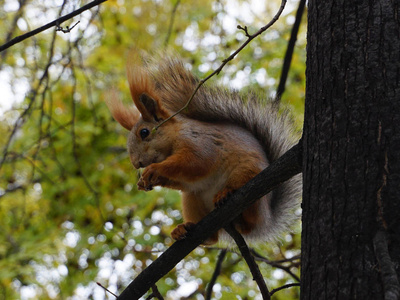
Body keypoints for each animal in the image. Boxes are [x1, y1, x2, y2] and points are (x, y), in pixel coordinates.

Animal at [106, 51, 300, 244]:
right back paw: (184, 229)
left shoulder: (200, 143)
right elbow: (185, 179)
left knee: (248, 221)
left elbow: (197, 163)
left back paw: (227, 194)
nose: (136, 163)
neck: (175, 137)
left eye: (144, 132)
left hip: (248, 177)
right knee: (212, 238)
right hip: (192, 199)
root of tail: (266, 219)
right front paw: (145, 181)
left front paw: (155, 169)